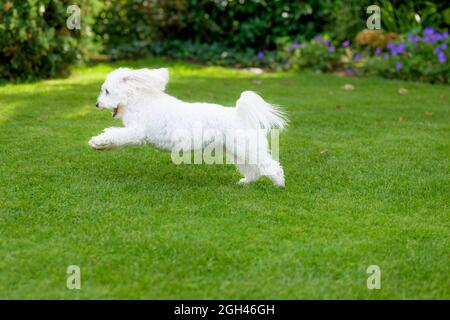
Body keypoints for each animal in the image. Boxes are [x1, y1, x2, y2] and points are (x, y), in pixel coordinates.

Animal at [89, 69, 288, 186]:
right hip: (238, 150)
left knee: (270, 165)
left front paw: (97, 141)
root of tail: (239, 113)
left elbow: (116, 135)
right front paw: (101, 146)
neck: (141, 101)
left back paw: (279, 183)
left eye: (106, 91)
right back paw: (246, 181)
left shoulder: (137, 132)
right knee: (252, 168)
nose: (97, 104)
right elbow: (117, 139)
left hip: (246, 147)